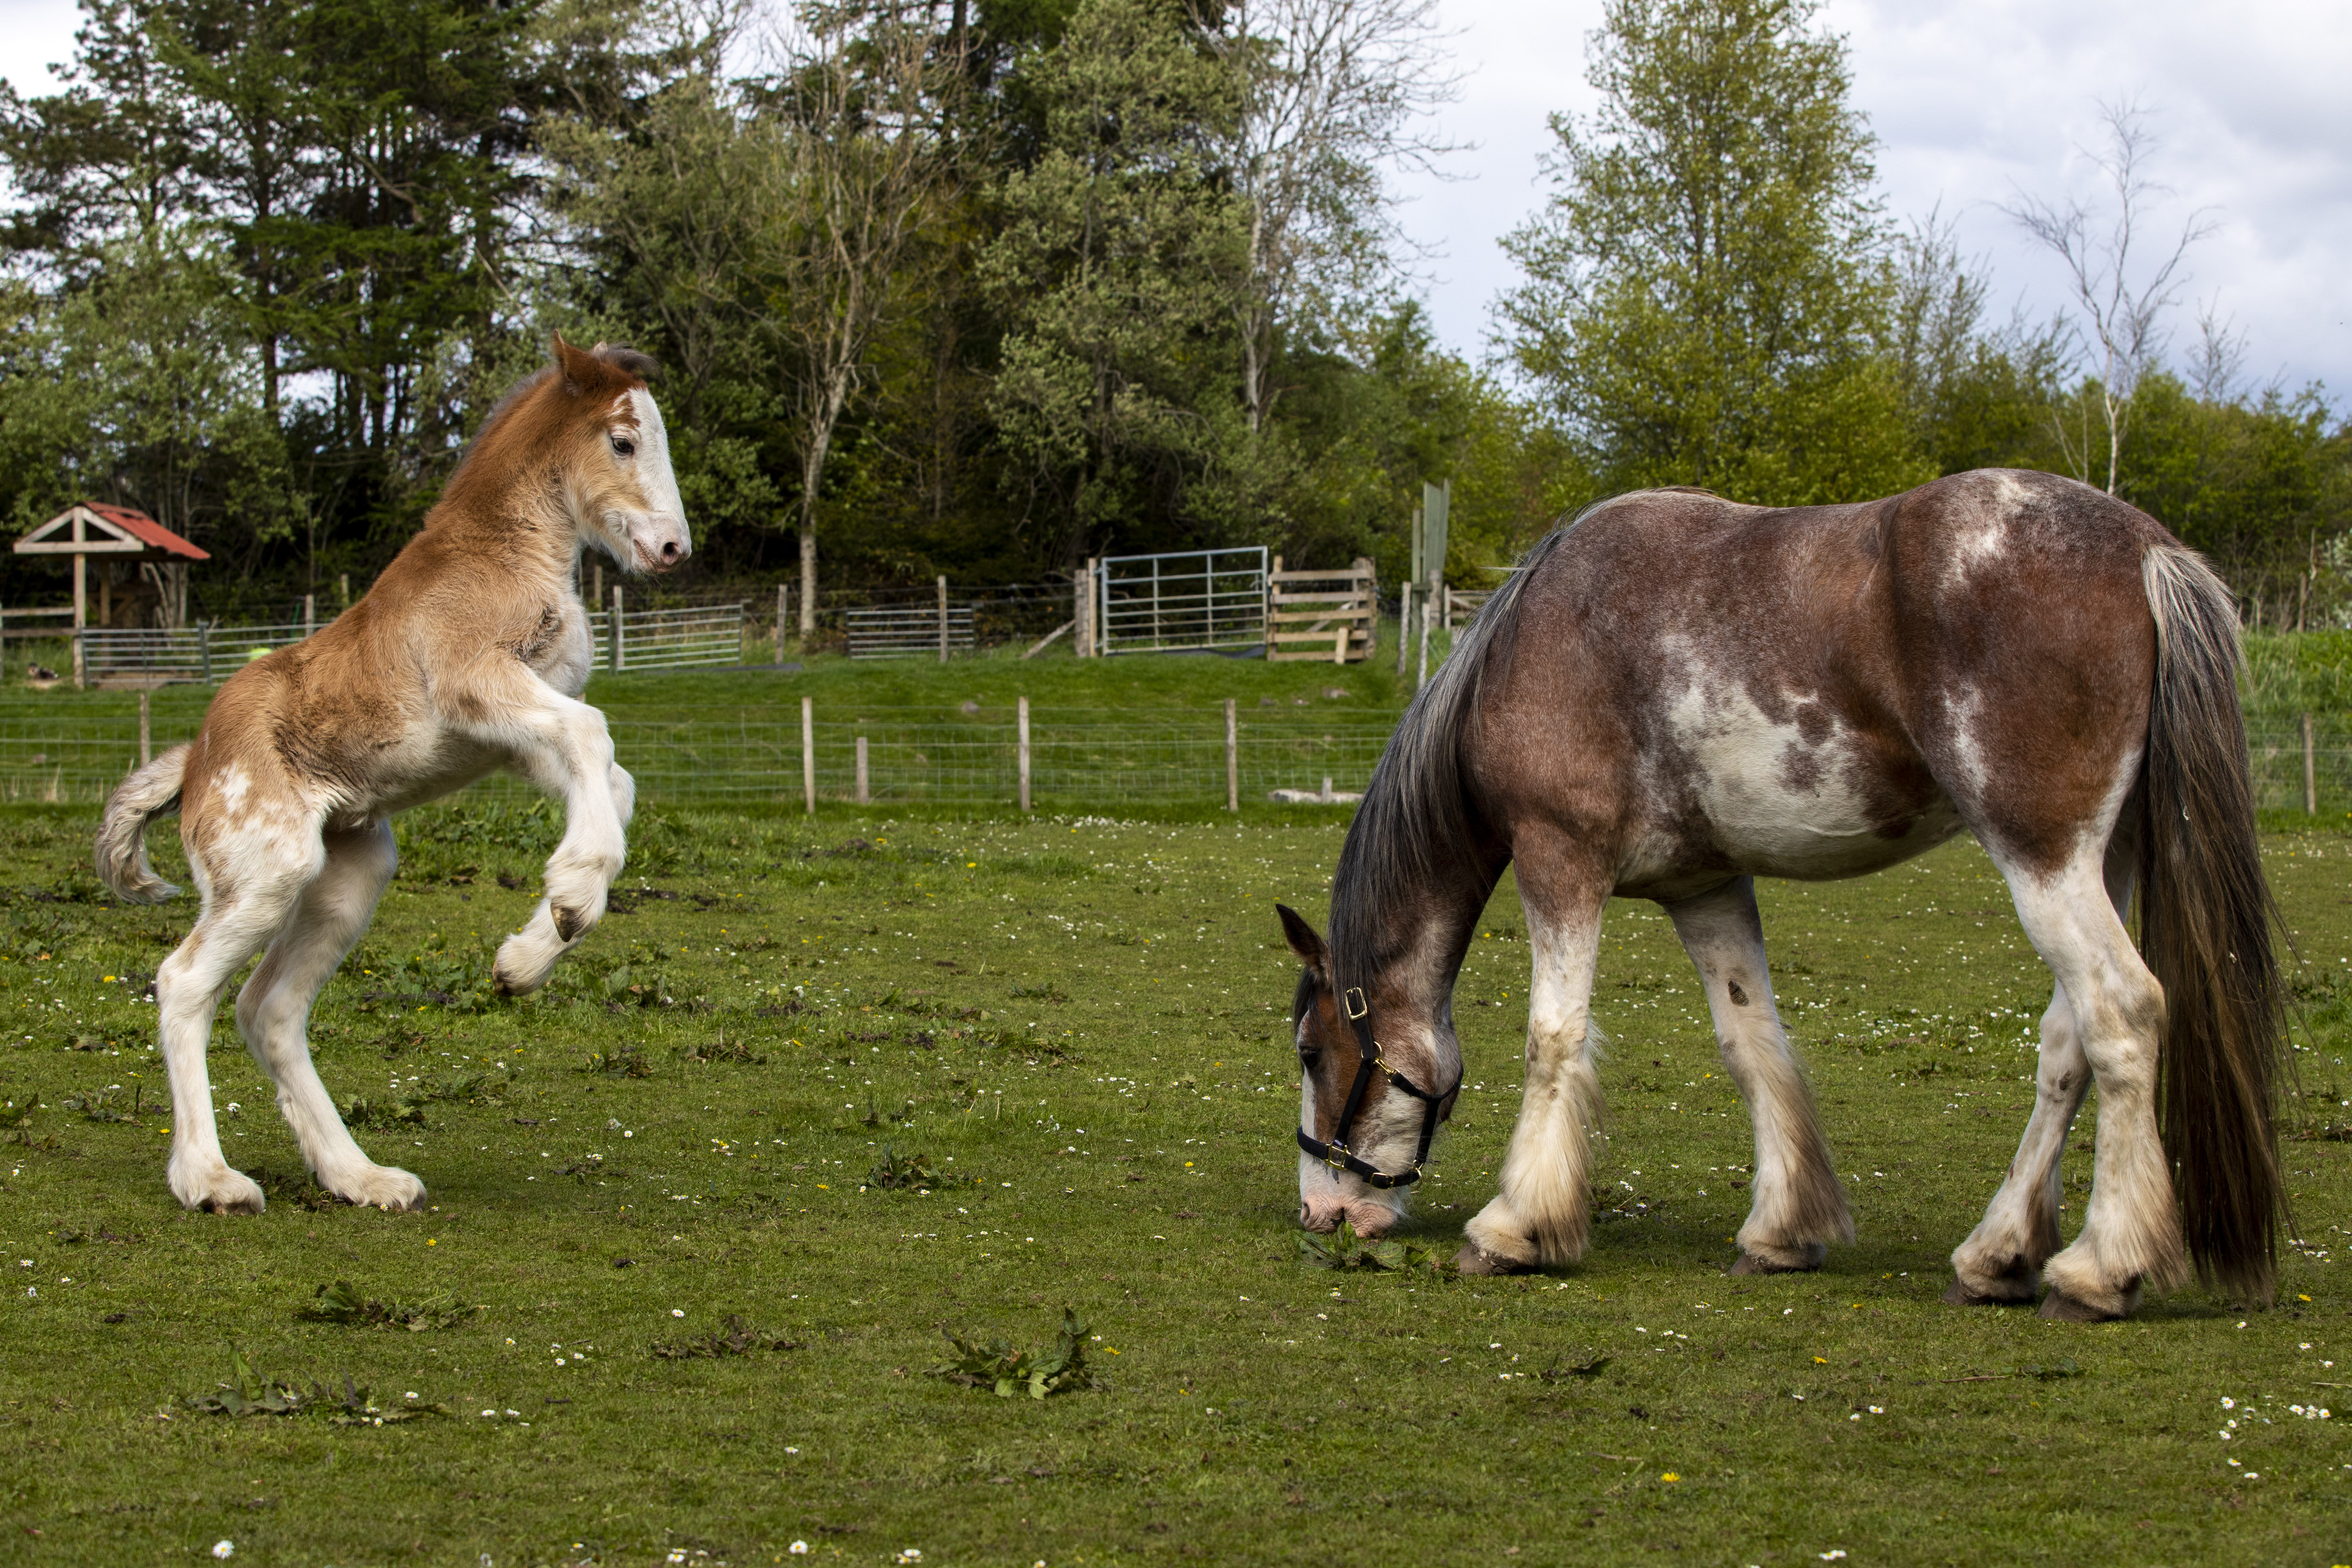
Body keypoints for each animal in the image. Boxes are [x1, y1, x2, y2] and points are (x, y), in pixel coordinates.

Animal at [96, 338, 687, 1222]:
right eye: (623, 441)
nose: (674, 549)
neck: (500, 551)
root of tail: (194, 759)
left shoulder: (512, 737)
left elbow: (612, 785)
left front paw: (529, 954)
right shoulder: (477, 683)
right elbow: (594, 737)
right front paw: (575, 897)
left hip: (350, 874)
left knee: (269, 1009)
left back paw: (360, 1176)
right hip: (267, 873)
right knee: (184, 984)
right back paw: (209, 1179)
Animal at [1279, 470, 2286, 1326]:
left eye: (1310, 1051)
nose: (1322, 1213)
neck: (1535, 640)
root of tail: (2144, 548)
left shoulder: (1559, 859)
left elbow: (1553, 1038)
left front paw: (1514, 1227)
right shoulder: (1705, 886)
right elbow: (1750, 1041)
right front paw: (1782, 1232)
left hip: (2045, 859)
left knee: (2123, 1015)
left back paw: (2100, 1270)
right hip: (2104, 860)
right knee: (2067, 1041)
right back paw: (1997, 1255)